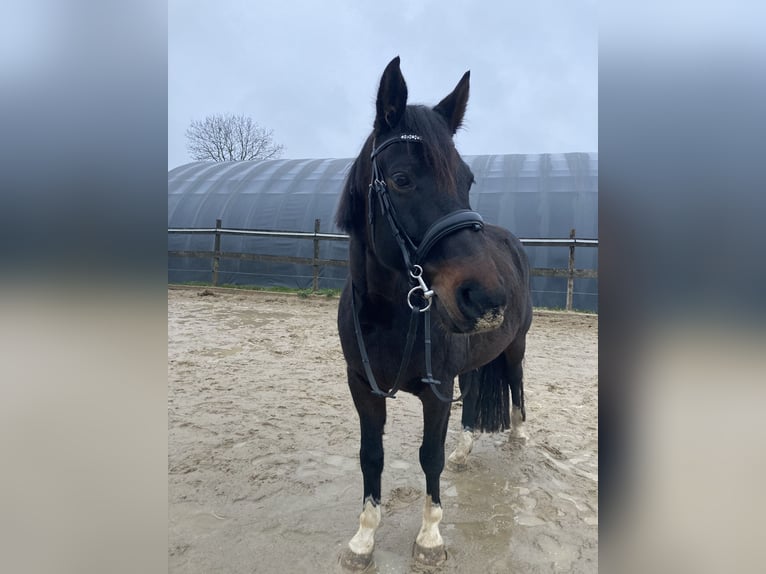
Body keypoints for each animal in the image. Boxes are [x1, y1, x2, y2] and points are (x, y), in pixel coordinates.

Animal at [336, 56, 536, 568]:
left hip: (515, 346)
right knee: (474, 397)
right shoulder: (362, 386)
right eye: (402, 179)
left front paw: (429, 538)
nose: (487, 297)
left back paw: (518, 443)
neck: (388, 316)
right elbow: (371, 455)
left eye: (466, 180)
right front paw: (363, 539)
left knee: (517, 389)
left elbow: (430, 456)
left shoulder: (436, 389)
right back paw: (466, 448)